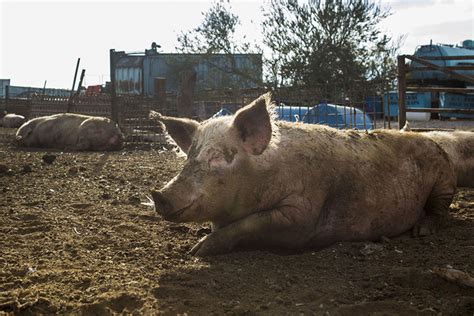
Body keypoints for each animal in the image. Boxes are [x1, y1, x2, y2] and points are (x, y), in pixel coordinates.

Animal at [150, 92, 458, 256]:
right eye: (191, 156)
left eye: (218, 156)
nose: (159, 195)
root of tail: (428, 138)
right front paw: (196, 245)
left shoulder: (302, 214)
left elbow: (253, 223)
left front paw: (196, 250)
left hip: (444, 181)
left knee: (440, 209)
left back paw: (421, 231)